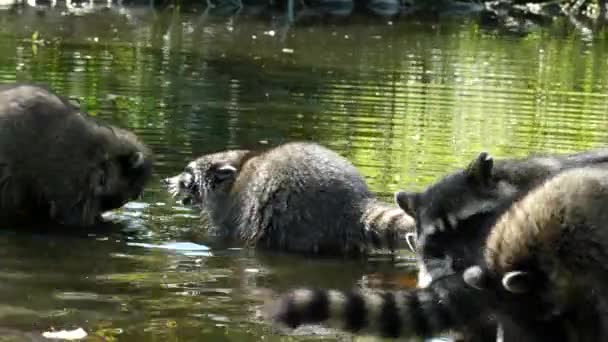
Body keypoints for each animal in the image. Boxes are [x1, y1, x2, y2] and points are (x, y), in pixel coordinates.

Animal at [164, 142, 416, 256]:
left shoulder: (227, 212)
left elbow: (221, 232)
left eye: (186, 173)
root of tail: (352, 201)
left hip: (293, 217)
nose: (167, 180)